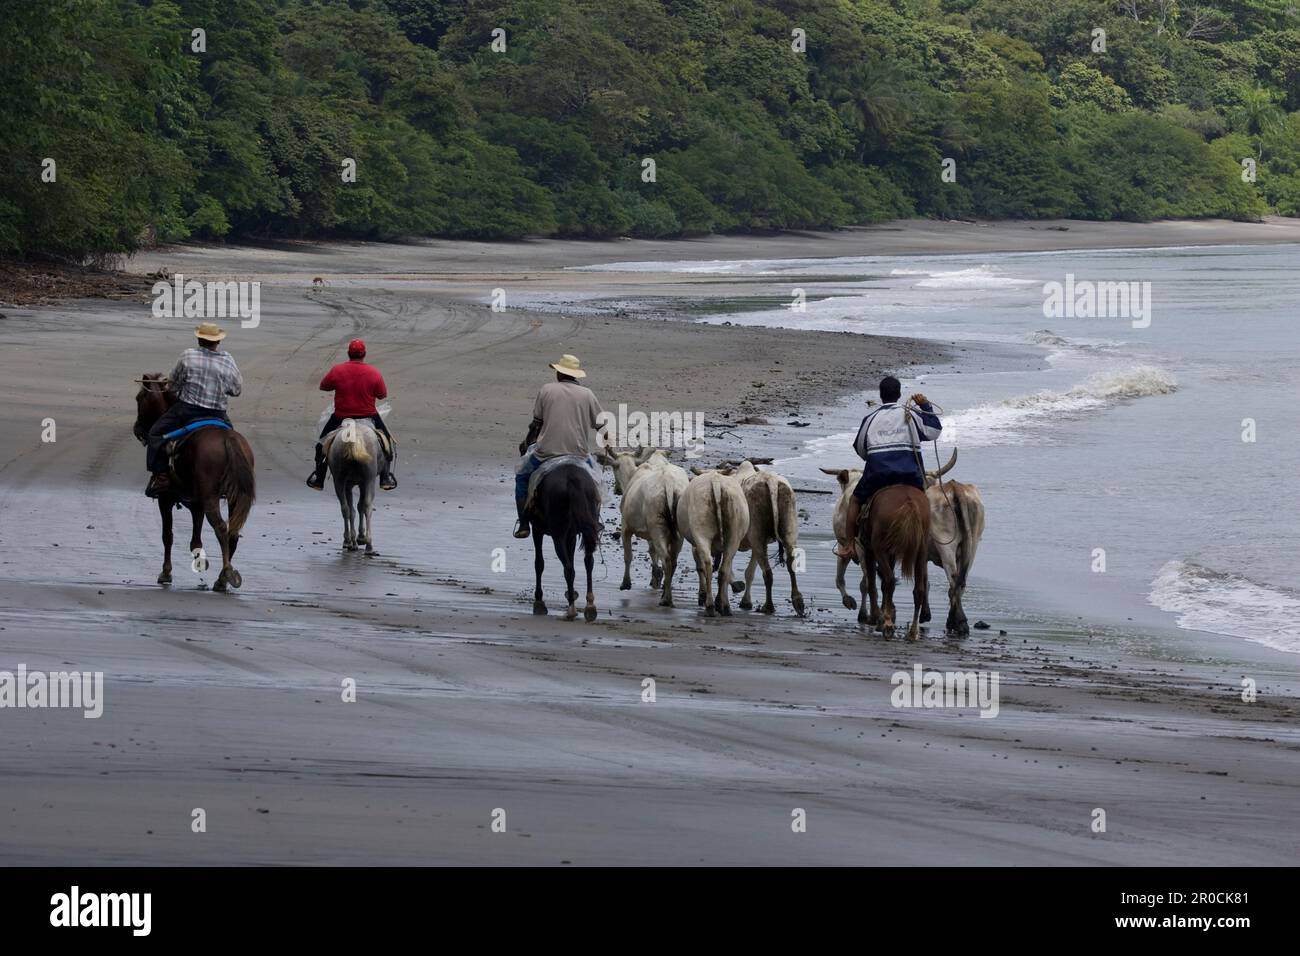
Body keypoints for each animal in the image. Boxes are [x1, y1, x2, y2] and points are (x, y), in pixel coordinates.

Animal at [134, 374, 256, 590]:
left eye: (139, 398)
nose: (136, 429)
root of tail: (227, 439)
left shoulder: (165, 499)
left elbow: (168, 536)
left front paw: (166, 573)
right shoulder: (196, 504)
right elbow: (195, 541)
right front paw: (199, 561)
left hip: (210, 498)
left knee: (221, 528)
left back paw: (226, 575)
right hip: (234, 497)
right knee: (232, 532)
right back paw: (222, 577)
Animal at [325, 418, 379, 554]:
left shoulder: (351, 484)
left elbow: (354, 508)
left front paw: (355, 539)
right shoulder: (361, 483)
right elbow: (359, 507)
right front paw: (360, 537)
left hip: (340, 480)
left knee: (346, 508)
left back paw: (352, 542)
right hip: (369, 479)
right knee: (366, 506)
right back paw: (366, 544)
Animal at [598, 447, 691, 606]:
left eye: (614, 467)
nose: (617, 490)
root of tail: (669, 484)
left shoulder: (626, 527)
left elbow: (628, 556)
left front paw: (626, 583)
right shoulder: (650, 535)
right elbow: (652, 552)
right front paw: (655, 578)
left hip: (657, 527)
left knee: (667, 560)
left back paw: (666, 599)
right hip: (677, 533)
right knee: (673, 561)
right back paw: (665, 593)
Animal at [676, 468, 748, 616]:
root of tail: (715, 480)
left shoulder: (695, 546)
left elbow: (700, 568)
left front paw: (702, 595)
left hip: (701, 533)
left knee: (707, 565)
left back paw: (710, 605)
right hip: (733, 536)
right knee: (724, 569)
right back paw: (723, 606)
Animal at [852, 489, 935, 639]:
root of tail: (909, 503)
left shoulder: (870, 551)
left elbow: (872, 584)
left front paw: (876, 618)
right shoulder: (891, 554)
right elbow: (883, 585)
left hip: (879, 549)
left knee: (889, 581)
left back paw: (888, 625)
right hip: (921, 551)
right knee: (918, 590)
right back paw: (912, 631)